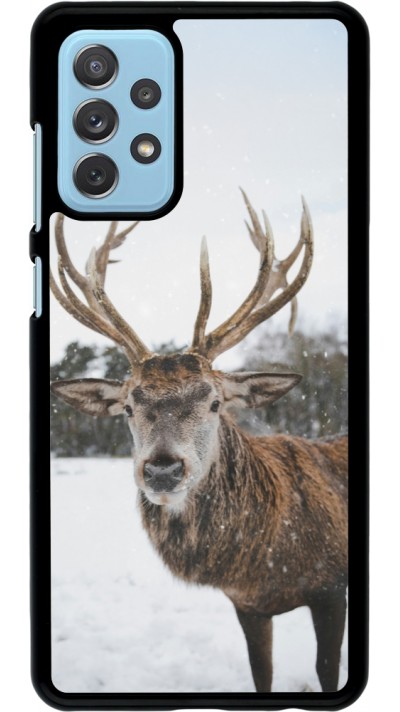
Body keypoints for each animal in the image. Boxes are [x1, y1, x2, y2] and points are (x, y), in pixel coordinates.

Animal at [50, 190, 348, 693]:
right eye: (128, 407)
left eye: (214, 402)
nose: (162, 469)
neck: (266, 564)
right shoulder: (247, 605)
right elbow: (261, 674)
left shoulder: (332, 587)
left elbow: (328, 670)